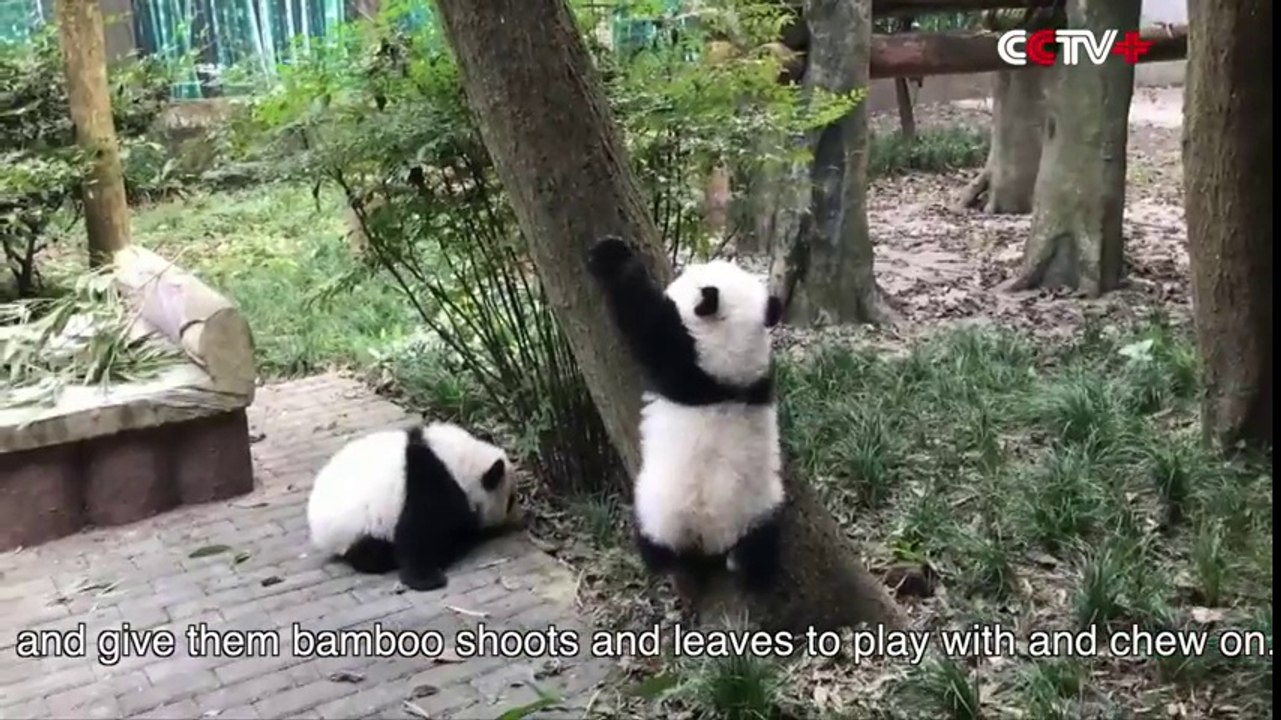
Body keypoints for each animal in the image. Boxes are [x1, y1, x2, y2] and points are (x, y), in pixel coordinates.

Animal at [306, 421, 523, 591]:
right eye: (511, 500)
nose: (517, 519)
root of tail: (317, 531)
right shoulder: (430, 483)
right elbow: (420, 534)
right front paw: (426, 578)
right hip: (358, 527)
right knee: (370, 554)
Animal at [585, 235, 786, 599]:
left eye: (690, 274)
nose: (685, 266)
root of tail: (708, 538)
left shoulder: (681, 358)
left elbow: (642, 320)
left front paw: (612, 256)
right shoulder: (759, 379)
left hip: (658, 510)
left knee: (654, 543)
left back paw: (663, 562)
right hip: (760, 509)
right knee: (762, 543)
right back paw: (756, 573)